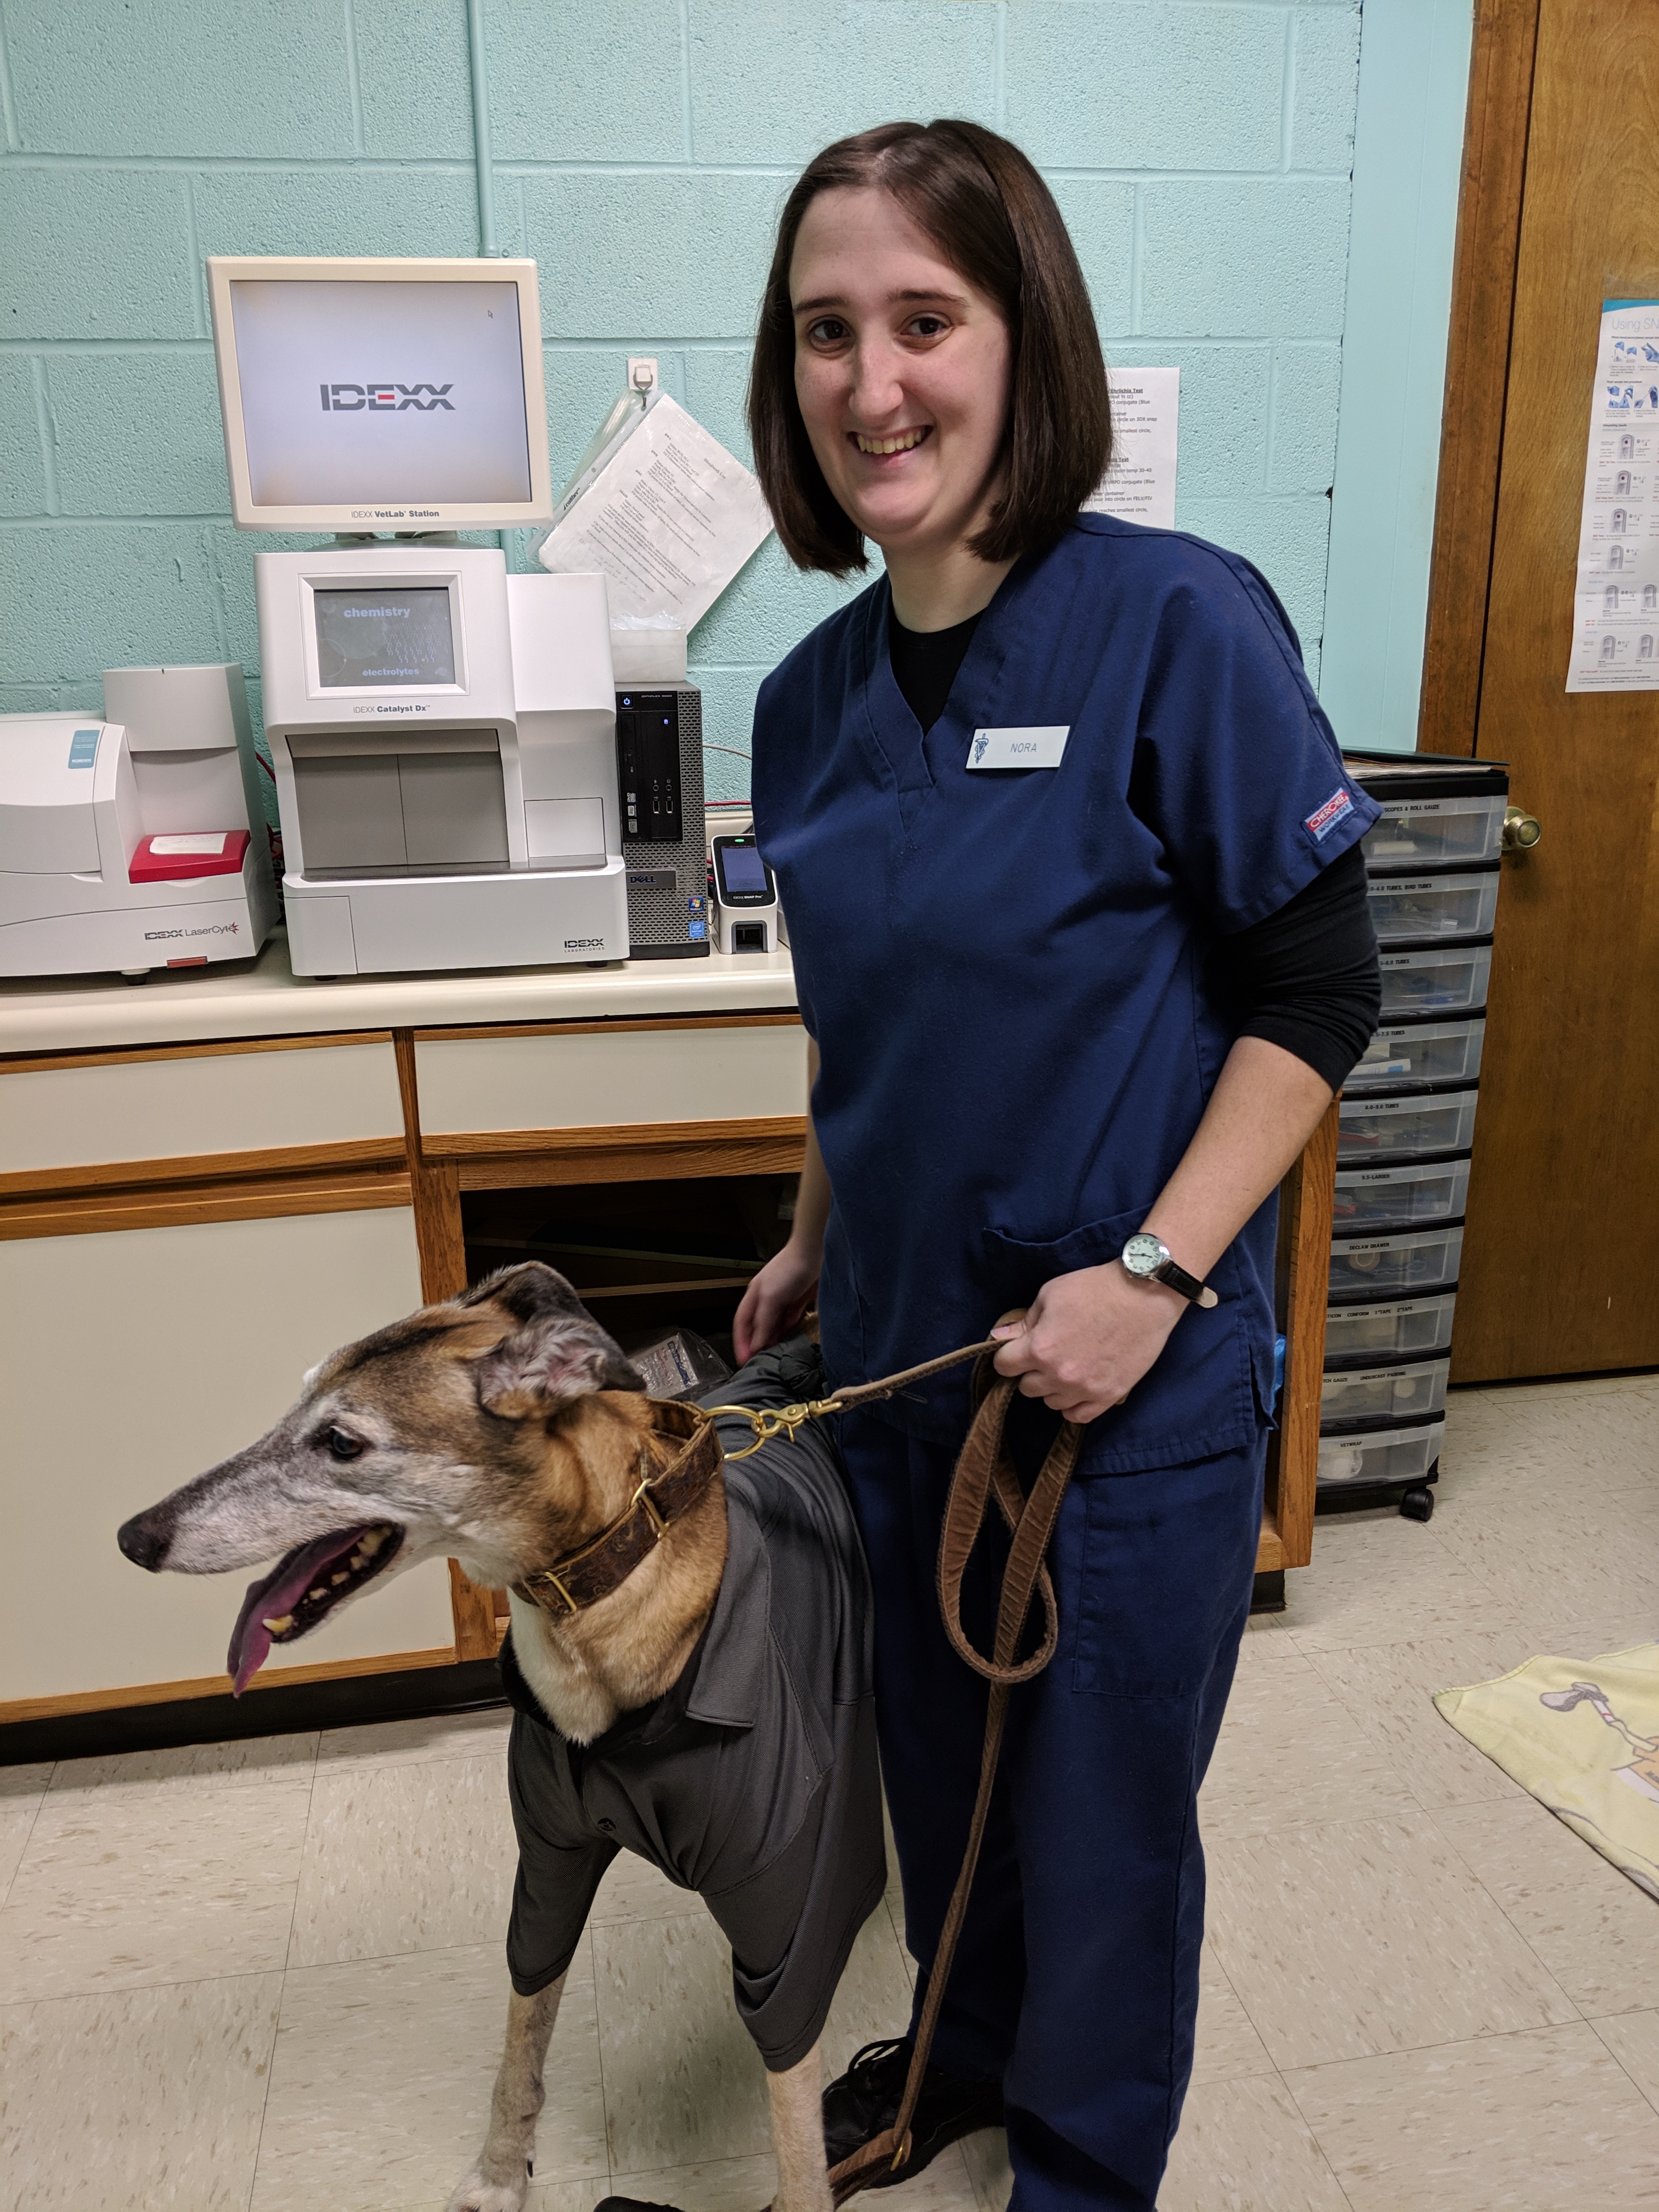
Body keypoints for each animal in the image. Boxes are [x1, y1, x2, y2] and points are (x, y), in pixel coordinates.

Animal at [118, 1263, 885, 2212]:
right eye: (298, 1401)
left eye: (340, 1442)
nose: (134, 1536)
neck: (595, 1615)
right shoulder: (549, 1861)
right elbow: (521, 2039)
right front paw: (496, 2177)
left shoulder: (786, 1914)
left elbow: (797, 2133)